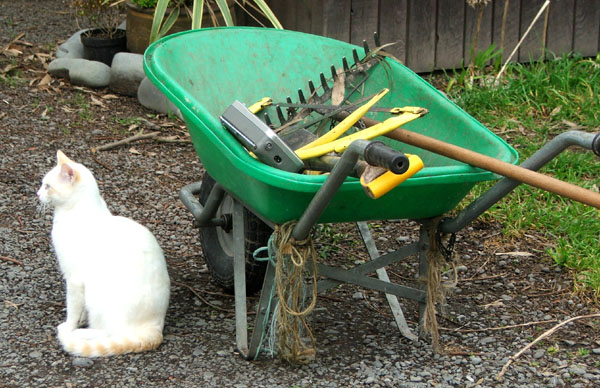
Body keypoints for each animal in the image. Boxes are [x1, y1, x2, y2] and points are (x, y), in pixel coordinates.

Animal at [37, 150, 170, 356]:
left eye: (47, 186)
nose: (37, 194)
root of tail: (156, 327)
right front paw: (80, 319)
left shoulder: (74, 279)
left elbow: (72, 309)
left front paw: (70, 325)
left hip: (97, 293)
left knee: (109, 333)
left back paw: (79, 333)